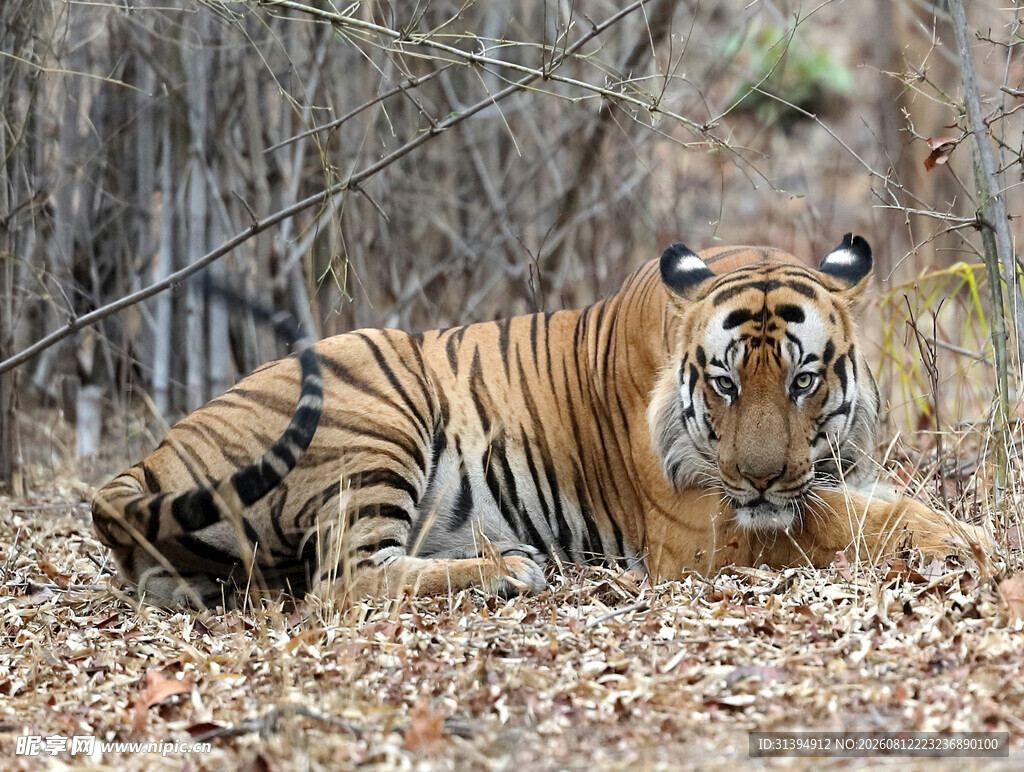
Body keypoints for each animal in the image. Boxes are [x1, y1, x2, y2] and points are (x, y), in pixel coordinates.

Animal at [91, 235, 990, 607]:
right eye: (726, 385)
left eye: (804, 380)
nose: (761, 478)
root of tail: (144, 464)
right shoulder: (702, 526)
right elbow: (849, 522)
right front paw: (963, 543)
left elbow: (877, 500)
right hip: (374, 404)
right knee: (340, 582)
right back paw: (507, 570)